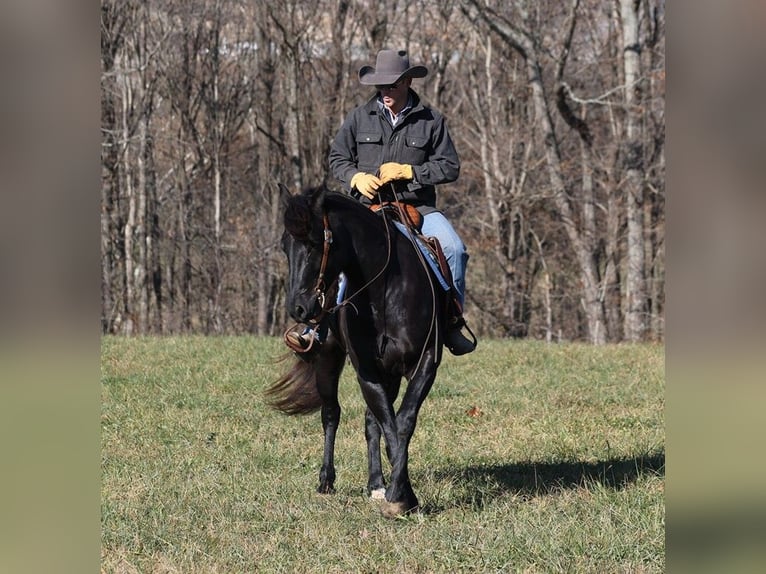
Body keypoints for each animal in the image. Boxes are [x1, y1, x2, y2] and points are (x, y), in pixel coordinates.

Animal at [268, 187, 452, 520]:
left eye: (314, 243)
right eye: (285, 246)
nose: (298, 309)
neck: (385, 292)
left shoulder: (424, 365)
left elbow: (401, 424)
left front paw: (398, 494)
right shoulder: (366, 371)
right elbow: (389, 427)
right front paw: (403, 497)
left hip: (389, 374)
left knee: (371, 421)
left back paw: (376, 484)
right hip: (328, 359)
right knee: (331, 414)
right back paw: (326, 481)